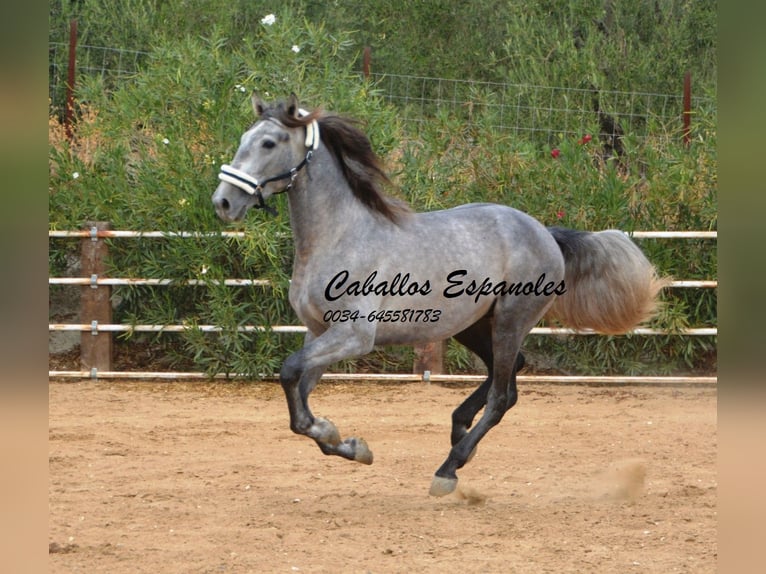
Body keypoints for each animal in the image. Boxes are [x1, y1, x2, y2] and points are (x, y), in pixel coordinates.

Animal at [210, 94, 664, 500]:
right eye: (244, 137)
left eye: (269, 143)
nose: (223, 202)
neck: (338, 236)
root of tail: (545, 233)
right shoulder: (317, 332)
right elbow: (299, 399)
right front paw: (351, 445)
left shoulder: (353, 336)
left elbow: (289, 374)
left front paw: (341, 437)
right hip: (472, 324)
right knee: (509, 374)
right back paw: (459, 432)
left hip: (511, 319)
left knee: (503, 395)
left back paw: (448, 469)